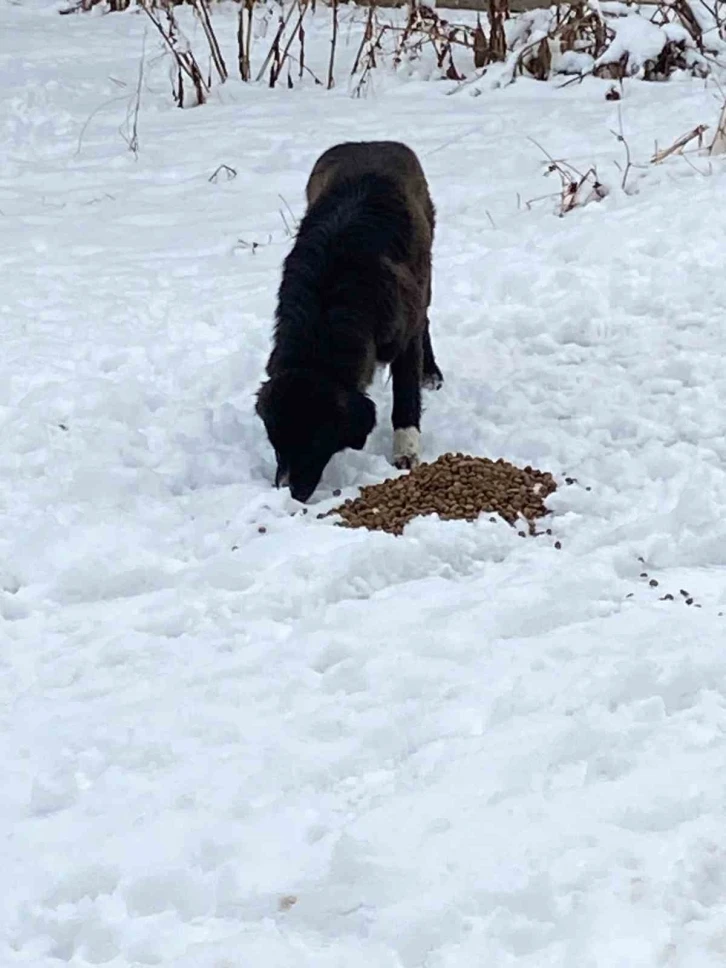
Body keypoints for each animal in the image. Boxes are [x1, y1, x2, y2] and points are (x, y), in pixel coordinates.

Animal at [262, 145, 444, 506]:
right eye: (276, 441)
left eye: (315, 440)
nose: (288, 492)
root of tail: (371, 141)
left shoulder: (404, 332)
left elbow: (406, 395)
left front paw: (406, 451)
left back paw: (431, 372)